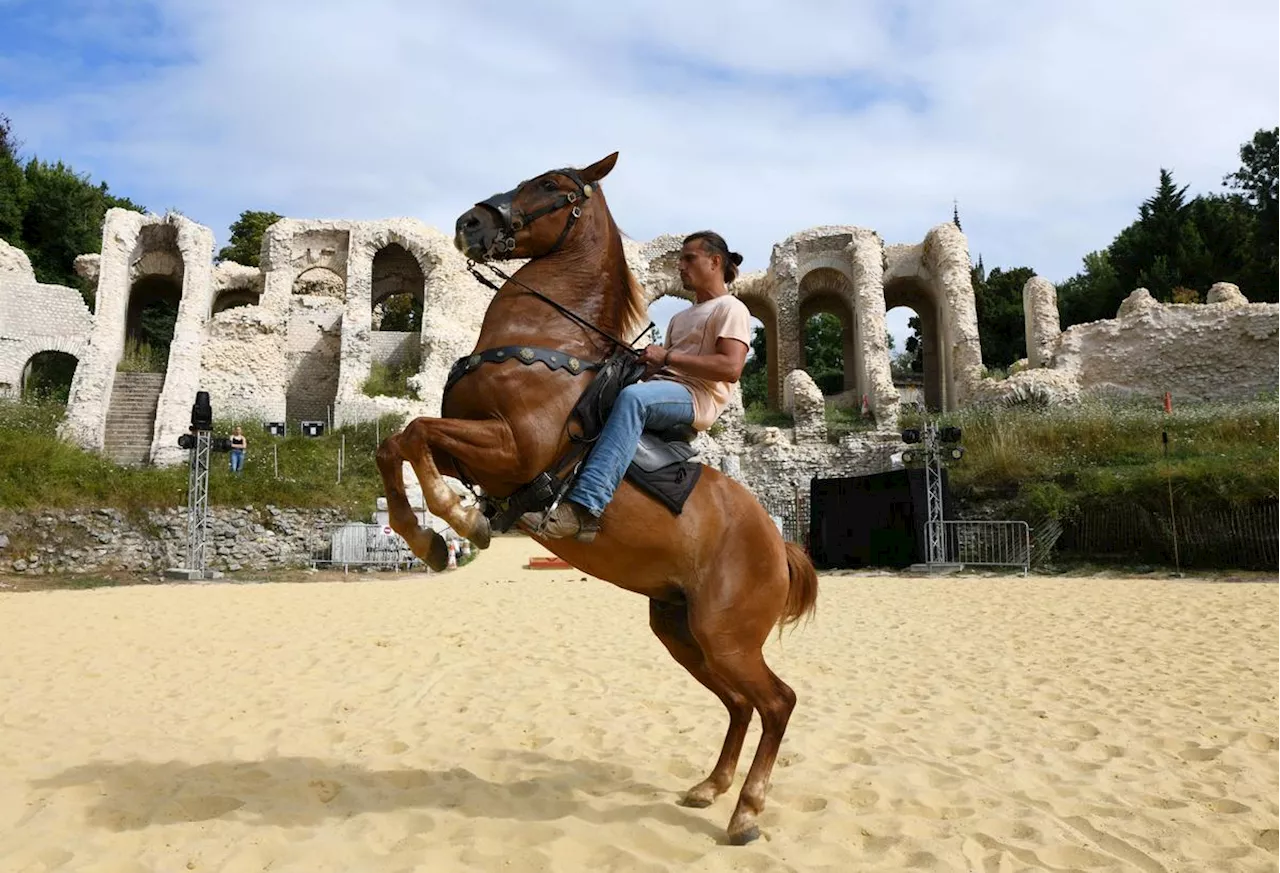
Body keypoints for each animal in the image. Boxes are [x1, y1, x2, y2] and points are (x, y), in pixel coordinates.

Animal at [373, 151, 819, 844]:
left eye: (554, 186)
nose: (471, 222)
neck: (546, 343)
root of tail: (778, 544)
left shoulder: (512, 450)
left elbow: (417, 433)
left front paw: (459, 520)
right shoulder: (470, 445)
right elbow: (395, 443)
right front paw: (429, 537)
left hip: (727, 635)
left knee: (776, 702)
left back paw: (746, 810)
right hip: (683, 630)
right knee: (741, 704)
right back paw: (710, 787)